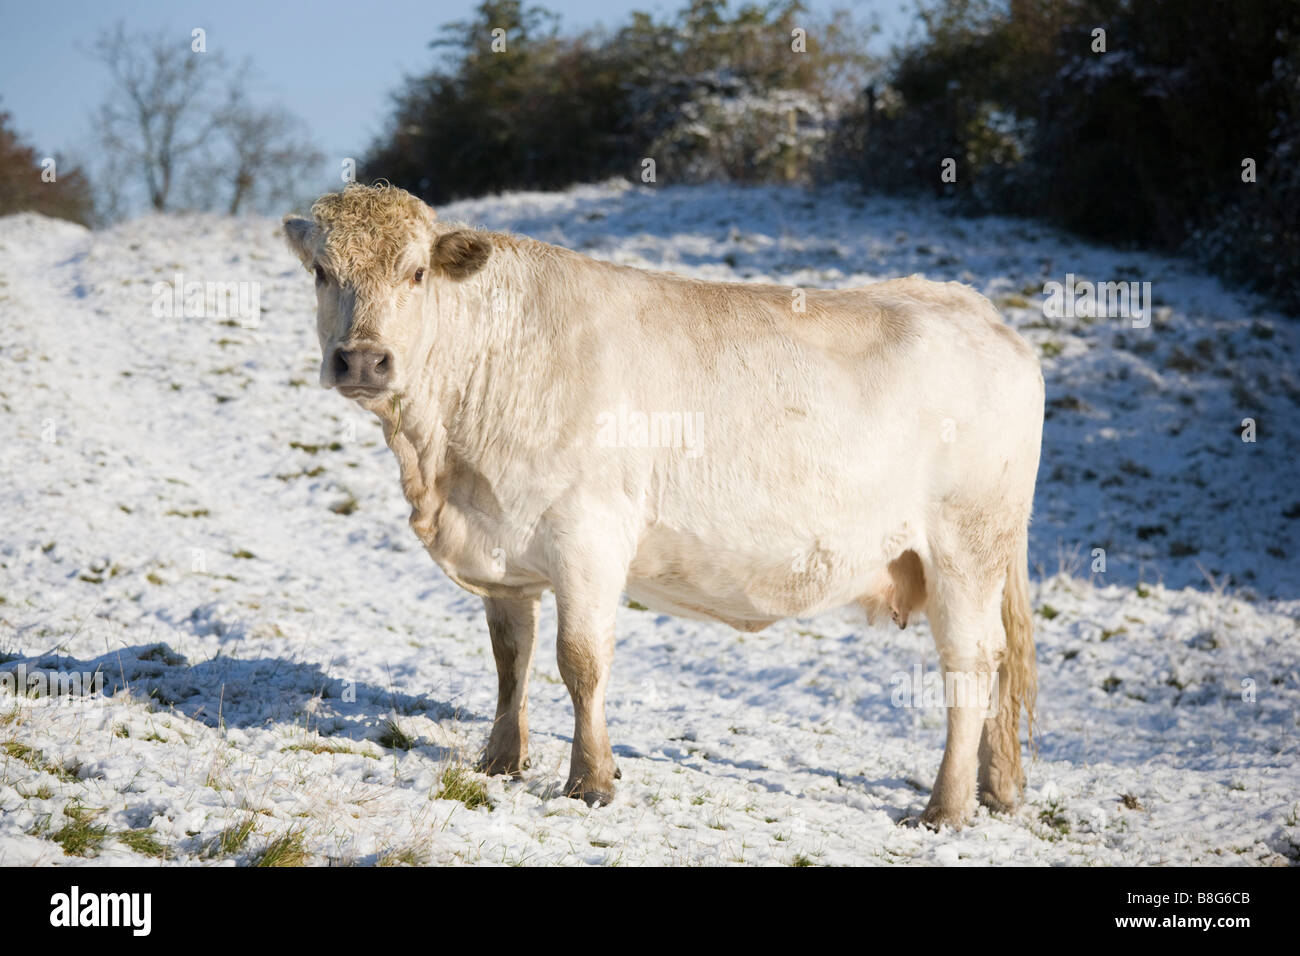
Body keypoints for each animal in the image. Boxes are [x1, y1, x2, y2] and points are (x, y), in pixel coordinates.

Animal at [284, 187, 1045, 832]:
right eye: (321, 272)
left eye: (416, 273)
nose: (362, 360)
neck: (444, 461)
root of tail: (974, 308)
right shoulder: (504, 552)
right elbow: (511, 658)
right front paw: (500, 761)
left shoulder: (588, 535)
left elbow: (580, 660)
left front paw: (591, 781)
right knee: (998, 663)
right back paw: (995, 790)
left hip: (966, 545)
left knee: (971, 664)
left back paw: (945, 808)